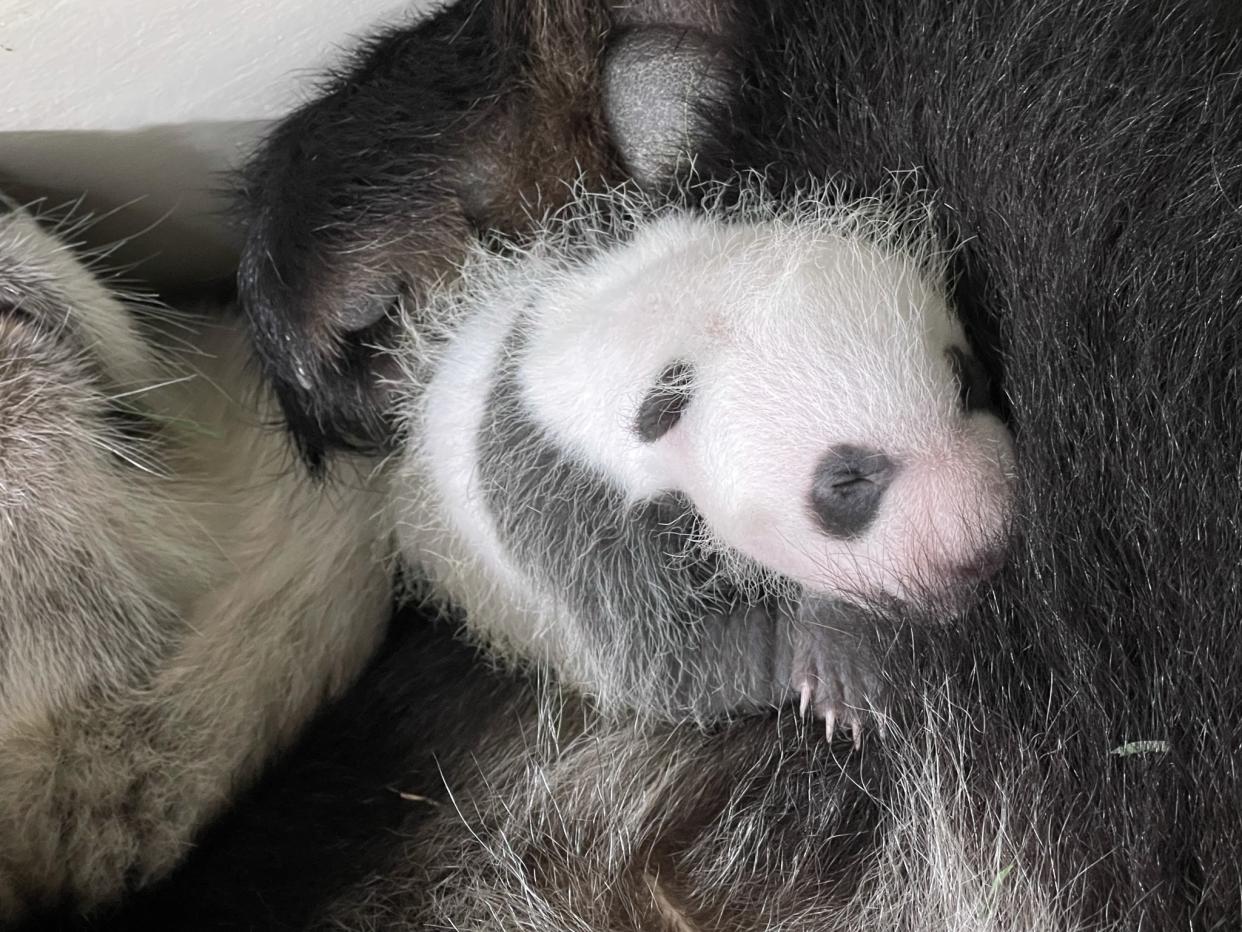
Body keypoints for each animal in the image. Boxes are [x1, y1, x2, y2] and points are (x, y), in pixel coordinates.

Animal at [38, 0, 1242, 929]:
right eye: (842, 485)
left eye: (966, 380)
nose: (983, 539)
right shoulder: (571, 513)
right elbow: (664, 655)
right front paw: (831, 652)